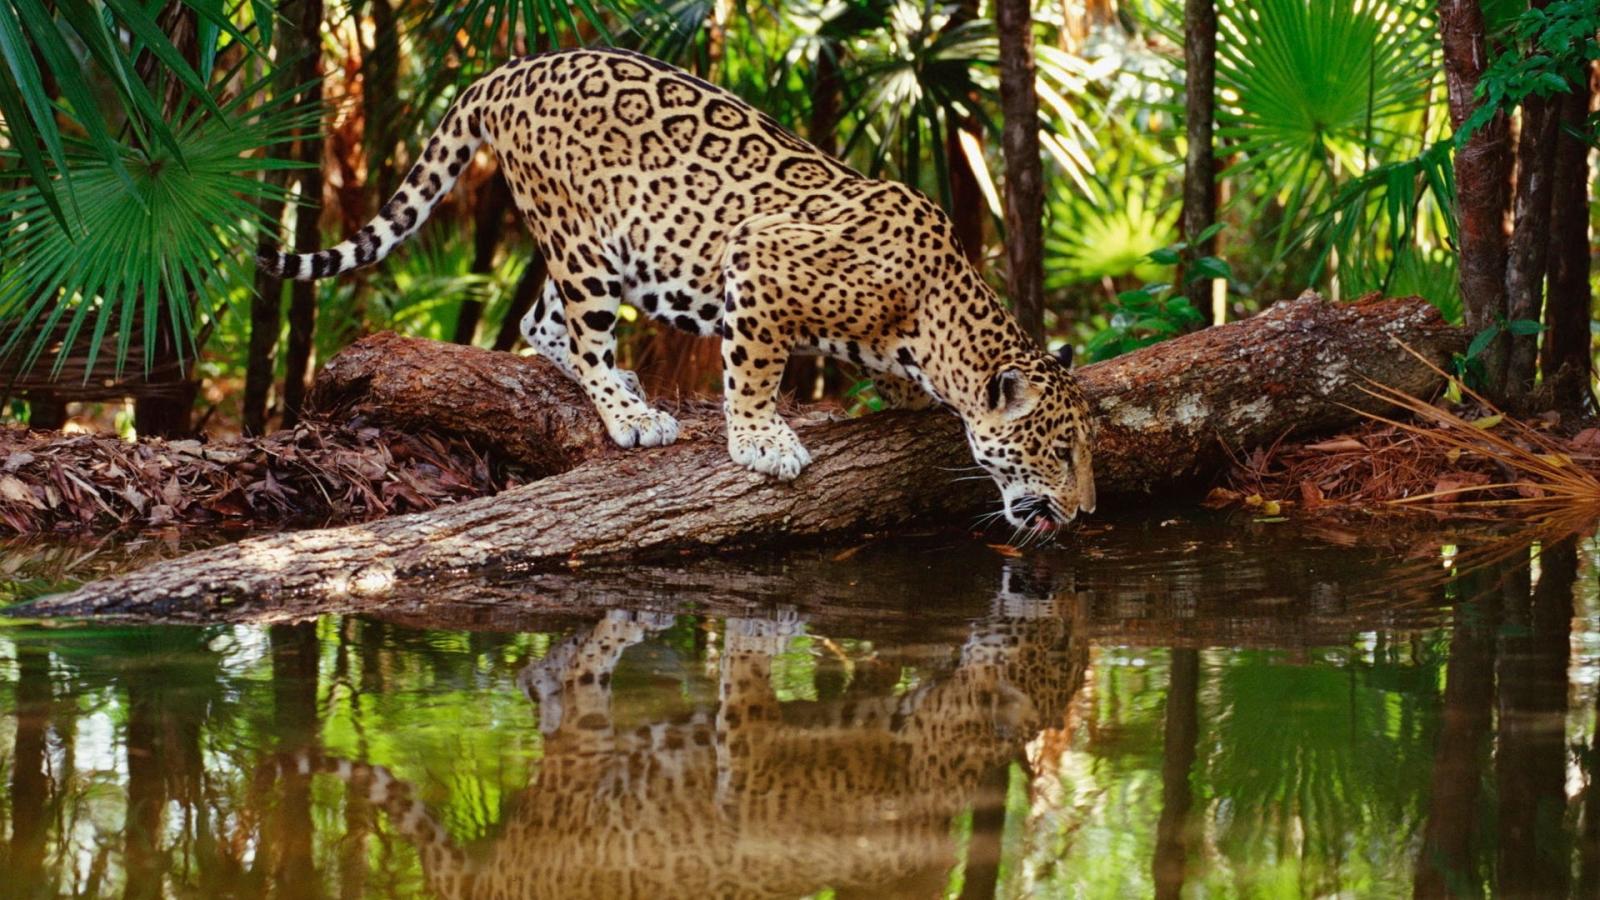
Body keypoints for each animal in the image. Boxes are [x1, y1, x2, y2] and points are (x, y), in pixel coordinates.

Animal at [257, 47, 1096, 528]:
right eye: (1058, 451)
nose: (1084, 512)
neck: (936, 313)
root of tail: (510, 69)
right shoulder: (759, 258)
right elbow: (754, 369)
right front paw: (761, 440)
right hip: (584, 242)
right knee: (581, 330)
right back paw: (630, 413)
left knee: (538, 320)